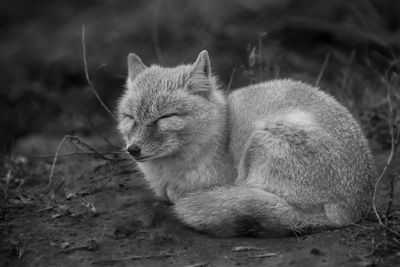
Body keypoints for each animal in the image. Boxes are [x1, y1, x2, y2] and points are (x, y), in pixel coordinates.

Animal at [116, 50, 378, 239]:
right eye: (130, 117)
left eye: (165, 117)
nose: (133, 149)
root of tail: (351, 211)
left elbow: (174, 192)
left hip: (260, 141)